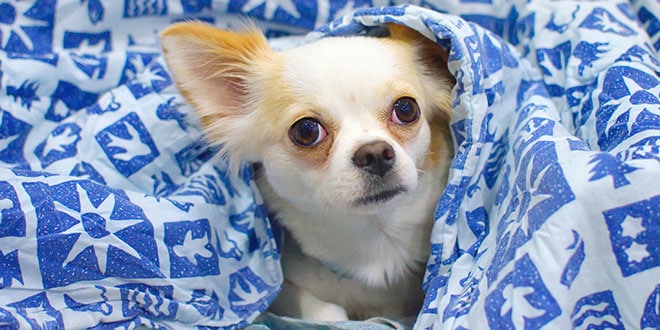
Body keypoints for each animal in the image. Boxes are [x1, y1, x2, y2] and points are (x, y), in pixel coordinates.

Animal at [162, 22, 456, 322]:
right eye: (306, 131)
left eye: (406, 109)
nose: (374, 153)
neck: (375, 245)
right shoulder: (283, 292)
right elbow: (325, 311)